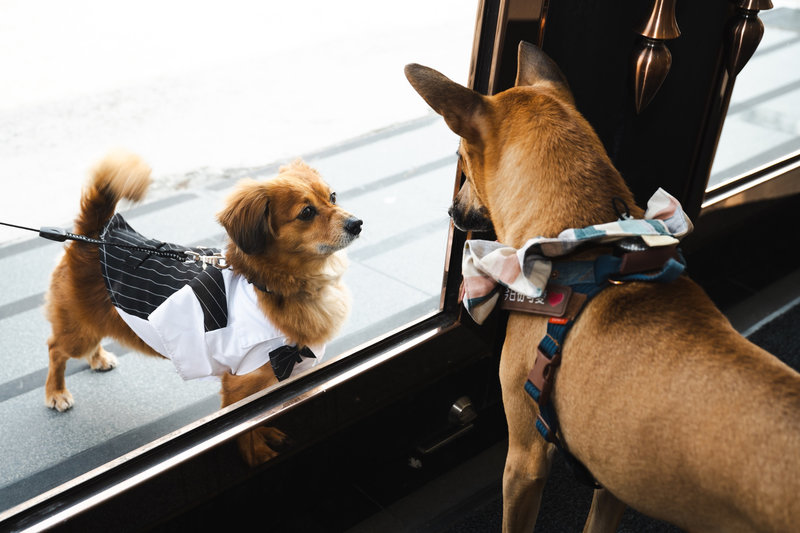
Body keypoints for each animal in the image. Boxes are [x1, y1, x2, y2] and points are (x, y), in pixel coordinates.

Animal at [43, 152, 362, 464]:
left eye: (332, 196)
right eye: (306, 212)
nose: (357, 223)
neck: (269, 286)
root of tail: (93, 238)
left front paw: (267, 434)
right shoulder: (241, 385)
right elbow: (248, 430)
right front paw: (255, 455)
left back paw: (98, 358)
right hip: (78, 333)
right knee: (56, 349)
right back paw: (56, 392)